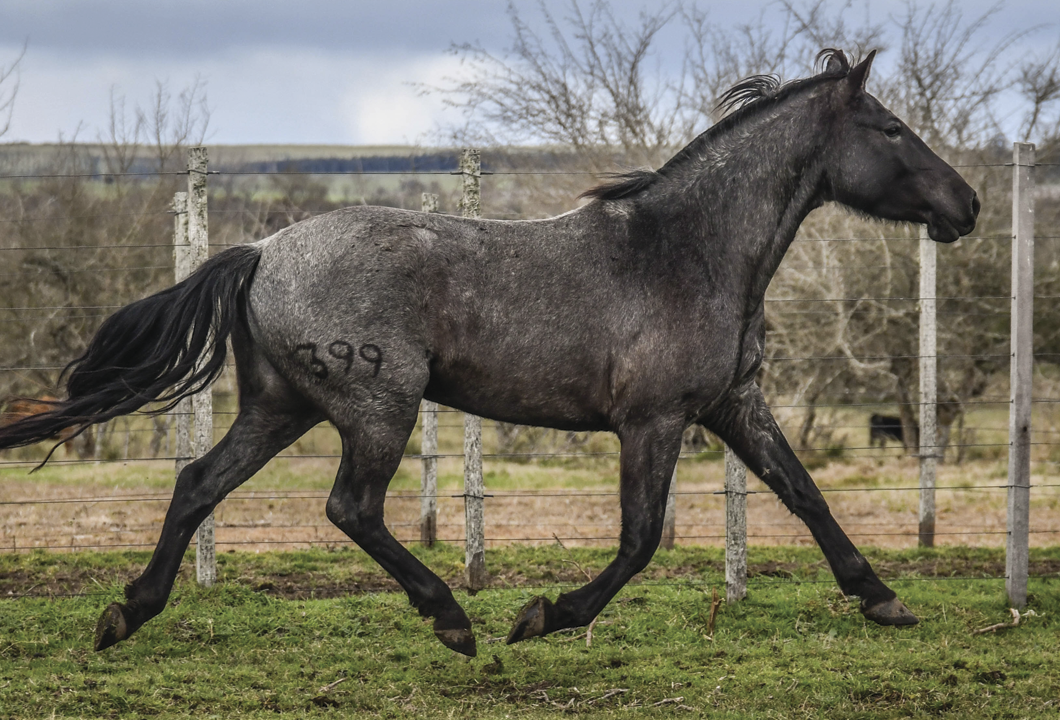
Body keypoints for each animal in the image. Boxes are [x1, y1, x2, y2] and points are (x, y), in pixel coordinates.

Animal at [0, 49, 975, 657]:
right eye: (890, 129)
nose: (964, 204)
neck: (687, 250)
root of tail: (264, 251)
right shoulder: (653, 421)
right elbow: (640, 539)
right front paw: (543, 616)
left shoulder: (734, 406)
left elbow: (805, 494)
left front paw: (884, 598)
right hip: (377, 408)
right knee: (350, 508)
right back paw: (452, 620)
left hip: (281, 405)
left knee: (199, 482)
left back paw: (127, 615)